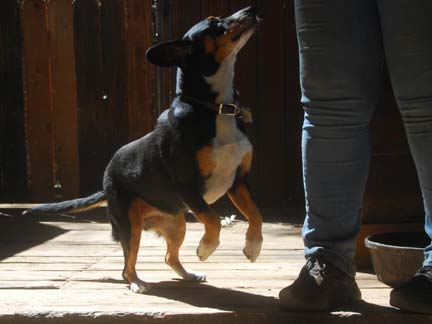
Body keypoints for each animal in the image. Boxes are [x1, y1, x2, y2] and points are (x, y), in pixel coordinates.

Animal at [25, 5, 262, 294]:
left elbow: (256, 215)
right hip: (130, 225)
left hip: (176, 223)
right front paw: (206, 248)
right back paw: (138, 282)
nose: (251, 9)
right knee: (127, 267)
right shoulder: (187, 185)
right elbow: (214, 219)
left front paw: (253, 247)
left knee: (169, 257)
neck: (215, 108)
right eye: (215, 25)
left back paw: (189, 275)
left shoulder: (238, 181)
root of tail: (106, 183)